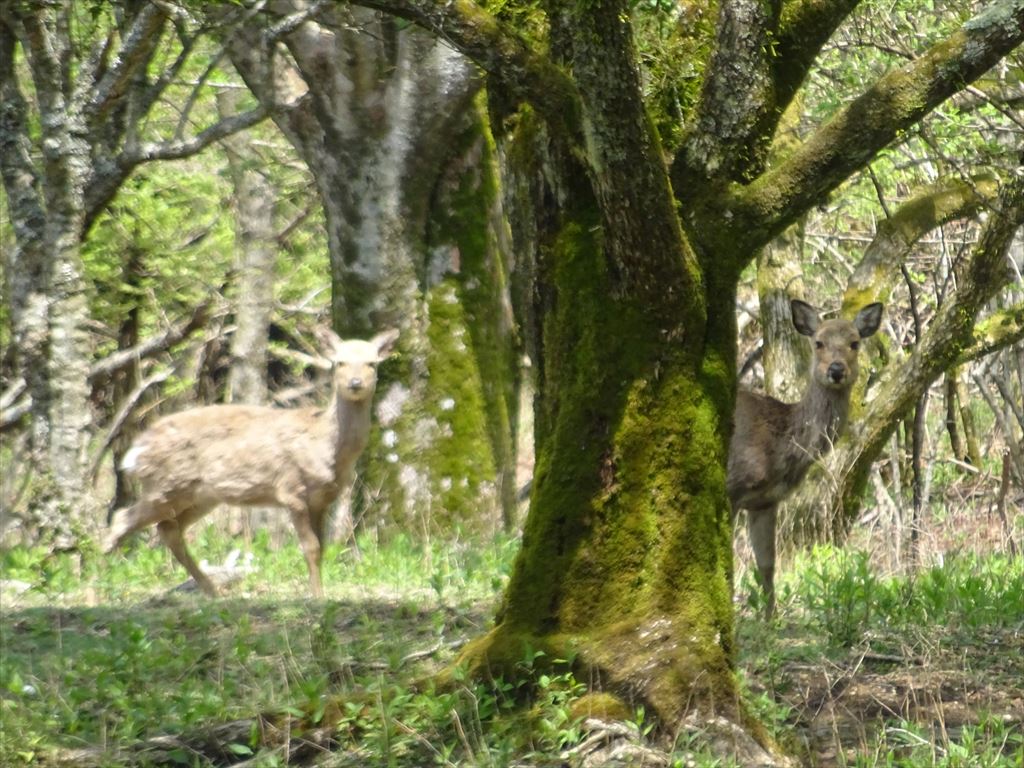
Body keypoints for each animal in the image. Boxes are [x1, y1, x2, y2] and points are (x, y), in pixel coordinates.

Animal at [105, 327, 400, 598]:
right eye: (339, 362)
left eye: (372, 363)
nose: (355, 383)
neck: (326, 445)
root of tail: (137, 449)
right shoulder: (291, 489)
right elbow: (311, 548)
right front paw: (317, 597)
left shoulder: (323, 499)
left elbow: (322, 548)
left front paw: (319, 592)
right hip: (166, 485)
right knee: (122, 519)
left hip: (200, 495)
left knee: (167, 529)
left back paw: (213, 592)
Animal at [727, 299, 883, 617]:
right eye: (818, 342)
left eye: (855, 343)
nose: (836, 370)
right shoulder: (732, 489)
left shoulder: (765, 501)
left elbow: (767, 565)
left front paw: (770, 619)